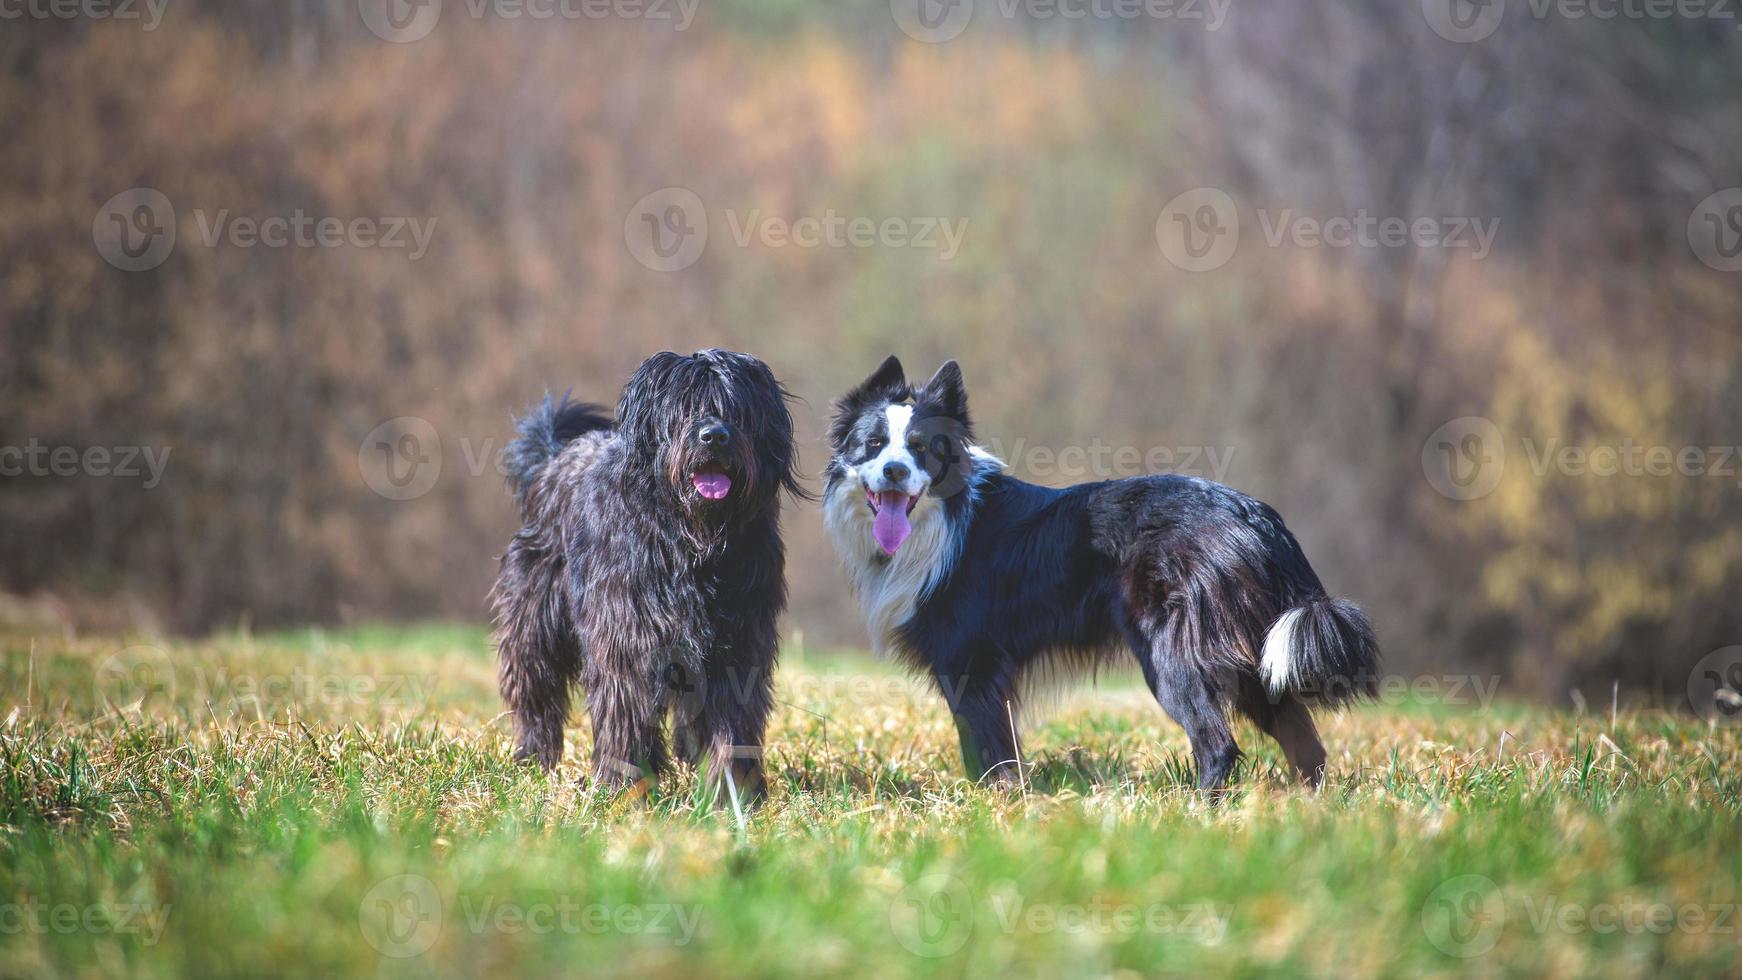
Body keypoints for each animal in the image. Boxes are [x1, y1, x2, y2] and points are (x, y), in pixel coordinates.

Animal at [494, 348, 804, 800]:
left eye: (736, 409)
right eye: (685, 406)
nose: (714, 436)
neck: (692, 542)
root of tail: (555, 457)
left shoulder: (740, 641)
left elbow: (732, 721)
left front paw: (732, 791)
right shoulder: (625, 634)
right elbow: (624, 709)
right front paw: (625, 784)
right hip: (535, 614)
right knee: (535, 682)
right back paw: (534, 755)